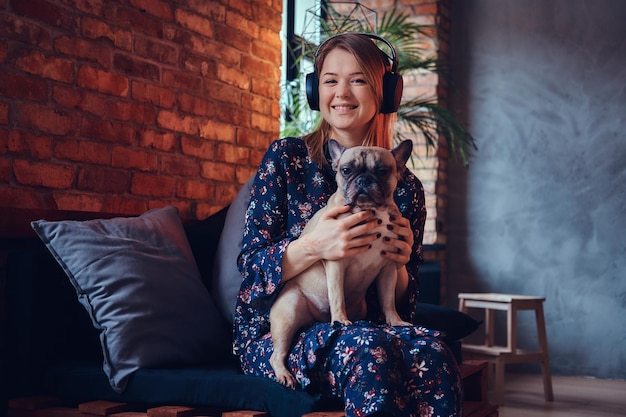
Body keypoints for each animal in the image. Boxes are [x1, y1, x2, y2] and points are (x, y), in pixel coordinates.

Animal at [268, 139, 414, 386]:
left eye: (382, 171)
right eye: (346, 170)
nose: (363, 180)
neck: (371, 211)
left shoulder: (388, 268)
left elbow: (388, 300)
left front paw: (395, 320)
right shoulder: (337, 261)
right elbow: (336, 295)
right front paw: (340, 319)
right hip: (288, 313)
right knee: (276, 354)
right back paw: (284, 374)